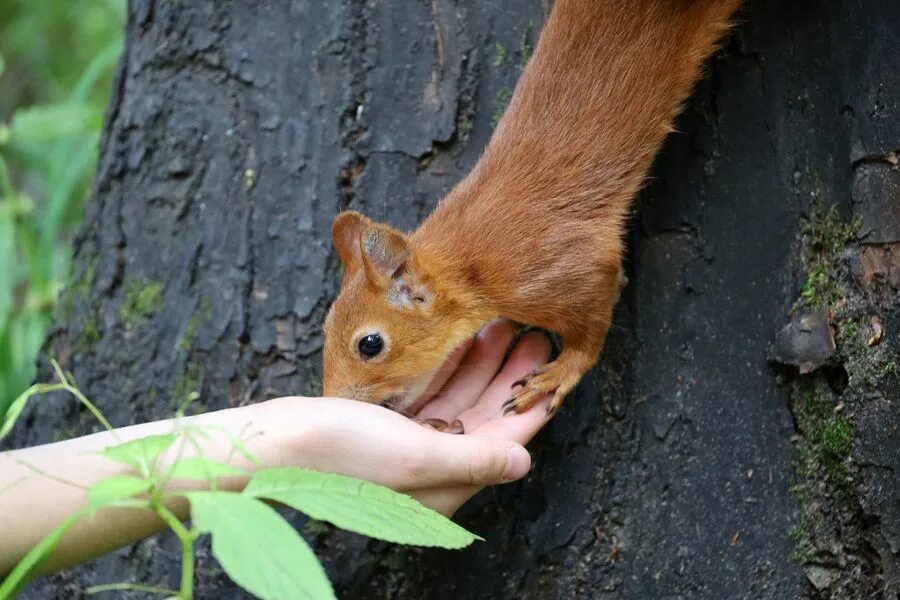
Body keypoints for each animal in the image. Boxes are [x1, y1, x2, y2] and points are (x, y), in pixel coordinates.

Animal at [322, 0, 740, 414]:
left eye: (370, 344)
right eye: (325, 329)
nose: (332, 401)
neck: (470, 264)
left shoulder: (564, 266)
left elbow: (591, 325)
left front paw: (557, 374)